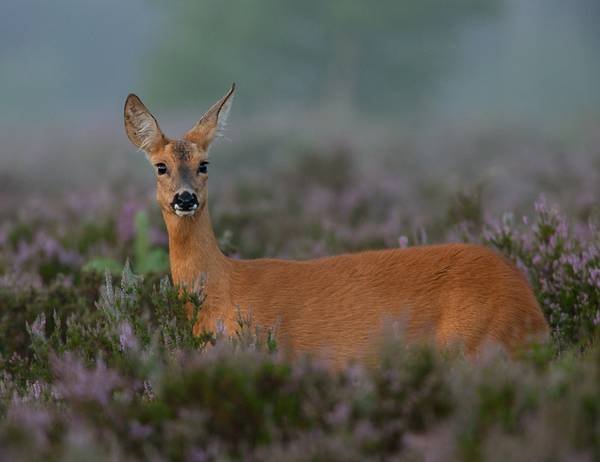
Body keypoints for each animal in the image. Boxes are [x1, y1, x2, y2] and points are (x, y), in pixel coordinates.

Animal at [125, 84, 548, 364]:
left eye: (204, 164)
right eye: (160, 166)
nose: (185, 199)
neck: (220, 292)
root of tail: (534, 312)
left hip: (474, 345)